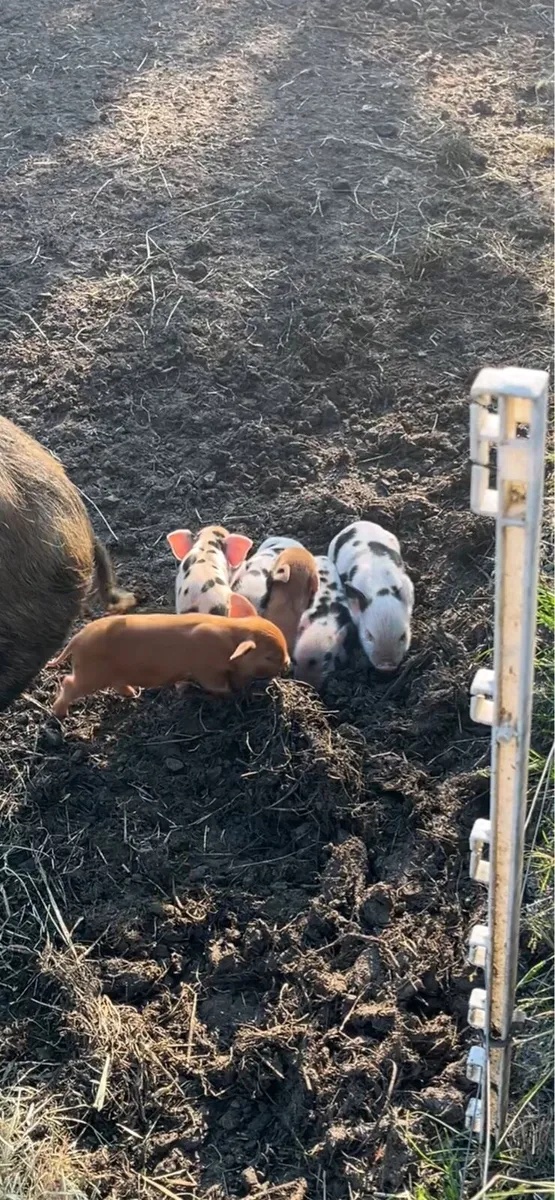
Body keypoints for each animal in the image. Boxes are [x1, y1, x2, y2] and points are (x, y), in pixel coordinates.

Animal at [48, 602, 290, 718]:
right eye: (270, 656)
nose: (288, 663)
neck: (229, 645)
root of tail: (78, 638)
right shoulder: (207, 669)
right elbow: (218, 686)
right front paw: (232, 696)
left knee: (117, 684)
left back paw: (133, 693)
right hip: (90, 673)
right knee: (68, 684)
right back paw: (59, 714)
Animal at [293, 555, 352, 688]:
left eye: (326, 661)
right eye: (295, 660)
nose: (307, 684)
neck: (324, 620)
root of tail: (321, 556)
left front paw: (344, 660)